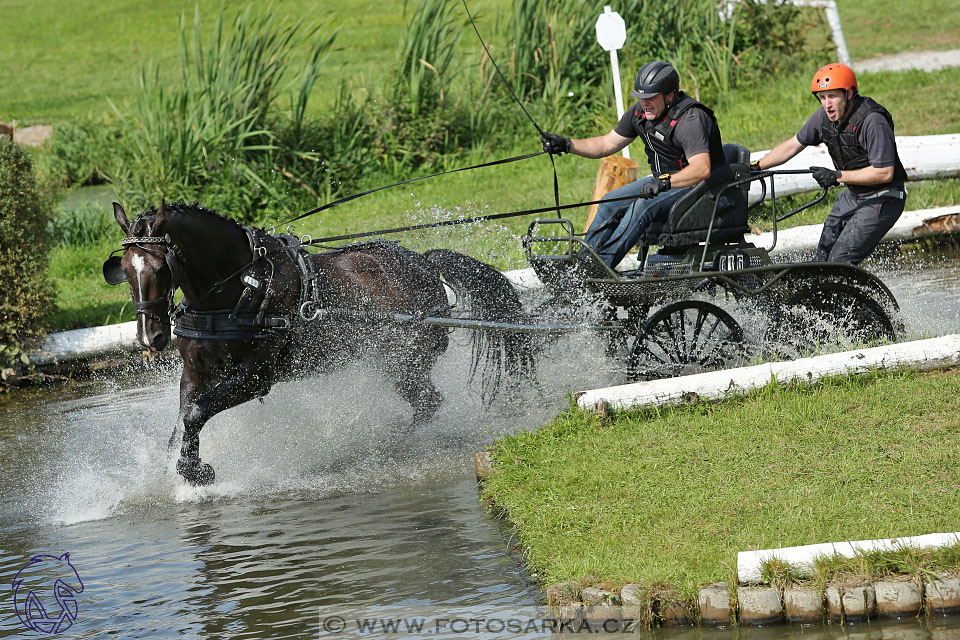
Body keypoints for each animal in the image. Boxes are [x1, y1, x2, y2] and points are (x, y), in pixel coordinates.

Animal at [107, 200, 540, 484]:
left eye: (161, 266)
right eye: (125, 268)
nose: (151, 337)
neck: (241, 287)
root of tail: (424, 263)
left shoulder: (257, 377)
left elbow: (196, 413)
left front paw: (196, 473)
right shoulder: (196, 372)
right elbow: (184, 417)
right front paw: (181, 469)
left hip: (404, 360)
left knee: (428, 403)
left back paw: (389, 444)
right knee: (427, 403)